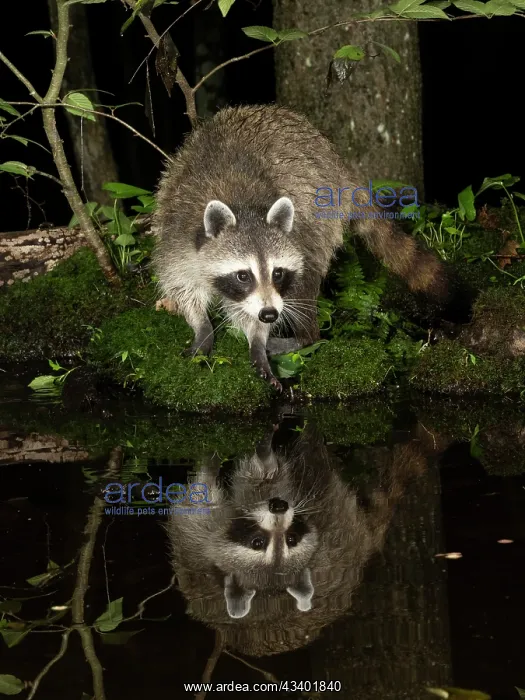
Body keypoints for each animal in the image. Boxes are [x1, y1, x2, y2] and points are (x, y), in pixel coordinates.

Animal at [153, 105, 448, 390]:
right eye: (243, 275)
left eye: (277, 273)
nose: (269, 315)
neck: (244, 208)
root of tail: (338, 161)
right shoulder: (177, 236)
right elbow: (181, 286)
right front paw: (202, 326)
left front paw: (257, 338)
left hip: (322, 217)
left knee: (306, 279)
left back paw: (305, 336)